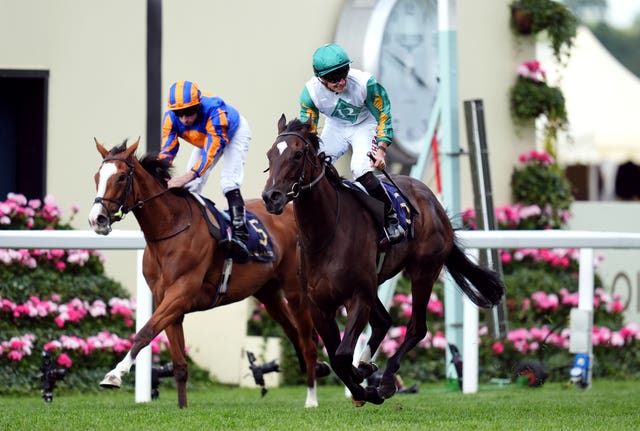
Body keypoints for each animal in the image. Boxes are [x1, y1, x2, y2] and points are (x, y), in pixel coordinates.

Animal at [87, 138, 328, 408]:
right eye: (97, 176)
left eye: (120, 178)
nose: (97, 219)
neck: (170, 230)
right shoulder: (166, 301)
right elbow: (180, 365)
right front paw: (182, 407)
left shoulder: (180, 294)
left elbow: (144, 333)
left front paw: (114, 375)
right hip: (268, 293)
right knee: (293, 331)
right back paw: (318, 369)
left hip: (296, 290)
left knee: (308, 342)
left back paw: (312, 397)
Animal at [262, 114, 504, 404]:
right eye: (269, 155)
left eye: (297, 155)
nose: (271, 197)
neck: (325, 234)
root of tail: (431, 200)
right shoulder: (319, 305)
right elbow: (336, 358)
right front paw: (362, 383)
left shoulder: (357, 296)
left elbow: (342, 356)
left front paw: (367, 388)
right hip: (375, 282)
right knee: (384, 321)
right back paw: (367, 365)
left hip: (423, 271)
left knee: (416, 327)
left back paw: (387, 380)